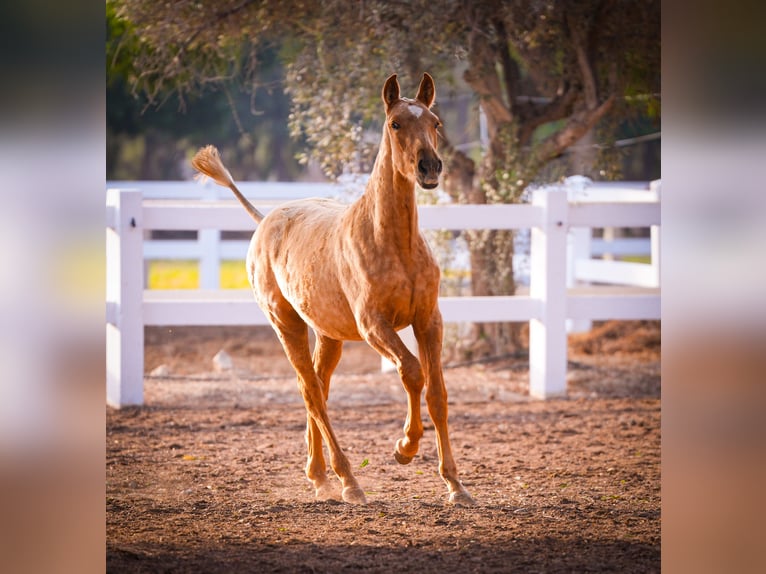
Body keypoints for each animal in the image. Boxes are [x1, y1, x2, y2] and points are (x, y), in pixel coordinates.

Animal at [194, 73, 474, 508]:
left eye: (435, 122)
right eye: (395, 123)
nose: (430, 167)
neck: (394, 243)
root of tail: (265, 220)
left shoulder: (429, 320)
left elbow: (438, 394)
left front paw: (456, 485)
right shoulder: (374, 325)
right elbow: (412, 372)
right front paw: (404, 448)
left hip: (329, 335)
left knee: (318, 388)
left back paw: (319, 476)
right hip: (287, 324)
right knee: (310, 391)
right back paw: (347, 481)